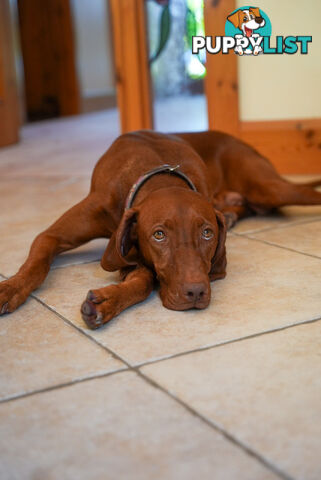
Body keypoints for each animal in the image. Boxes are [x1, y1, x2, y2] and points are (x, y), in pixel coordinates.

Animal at [0, 130, 320, 330]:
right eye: (159, 235)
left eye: (207, 233)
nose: (195, 293)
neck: (157, 173)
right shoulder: (54, 236)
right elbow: (37, 263)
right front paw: (10, 288)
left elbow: (144, 280)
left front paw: (105, 302)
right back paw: (231, 214)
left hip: (269, 188)